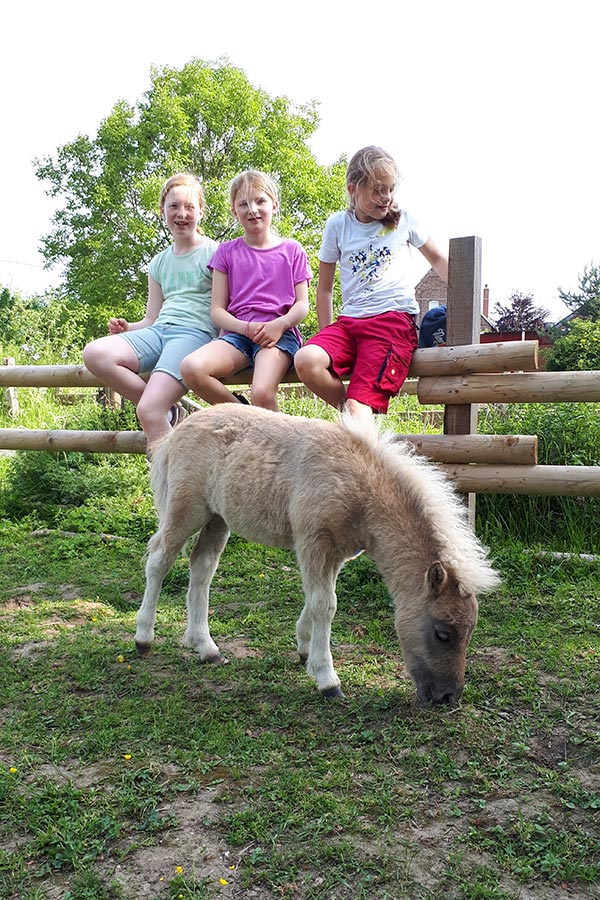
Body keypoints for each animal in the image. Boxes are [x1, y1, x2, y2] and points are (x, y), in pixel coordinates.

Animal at [135, 406, 496, 704]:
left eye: (470, 632)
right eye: (442, 633)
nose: (448, 697)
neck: (359, 488)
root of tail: (176, 432)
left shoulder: (336, 553)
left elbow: (316, 600)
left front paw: (304, 650)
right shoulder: (314, 543)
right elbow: (325, 604)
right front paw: (327, 679)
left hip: (217, 519)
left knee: (202, 567)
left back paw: (205, 647)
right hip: (186, 510)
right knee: (159, 559)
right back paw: (144, 638)